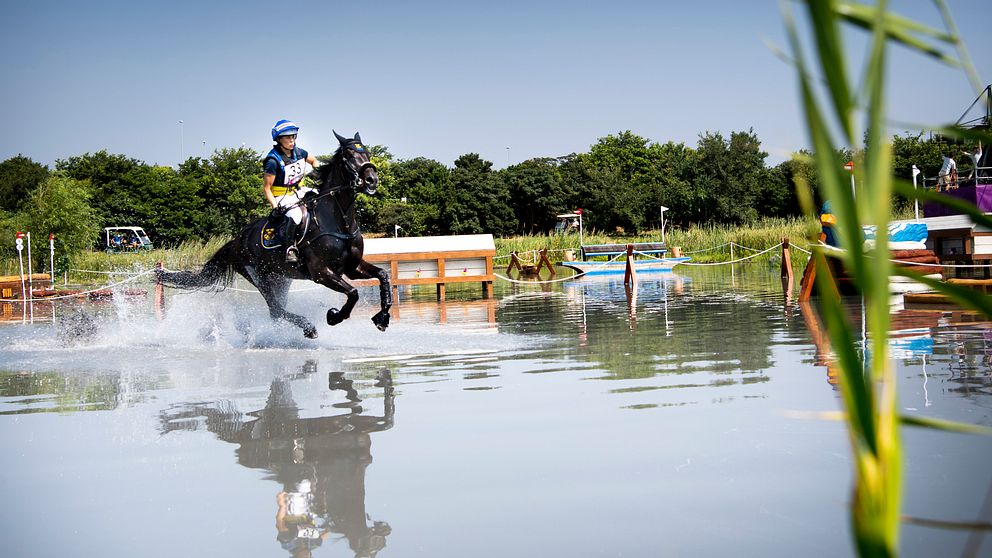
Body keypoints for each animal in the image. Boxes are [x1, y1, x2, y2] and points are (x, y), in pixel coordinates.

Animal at [157, 132, 390, 342]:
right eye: (348, 155)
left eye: (366, 152)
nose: (372, 180)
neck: (337, 219)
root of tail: (236, 241)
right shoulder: (321, 273)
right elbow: (353, 293)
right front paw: (334, 317)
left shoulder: (351, 267)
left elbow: (382, 276)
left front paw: (382, 318)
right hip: (260, 277)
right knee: (275, 309)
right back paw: (307, 328)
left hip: (281, 278)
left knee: (277, 310)